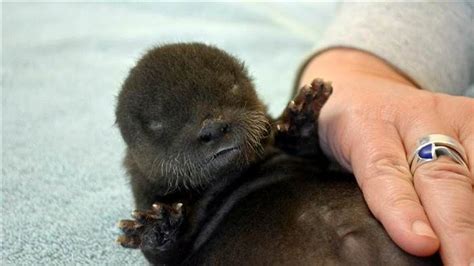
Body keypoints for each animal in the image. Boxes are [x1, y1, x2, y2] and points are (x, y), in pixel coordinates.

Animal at [115, 42, 440, 264]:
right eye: (158, 123)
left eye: (232, 87)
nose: (213, 127)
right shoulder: (147, 195)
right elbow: (167, 255)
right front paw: (156, 226)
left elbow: (312, 154)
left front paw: (302, 115)